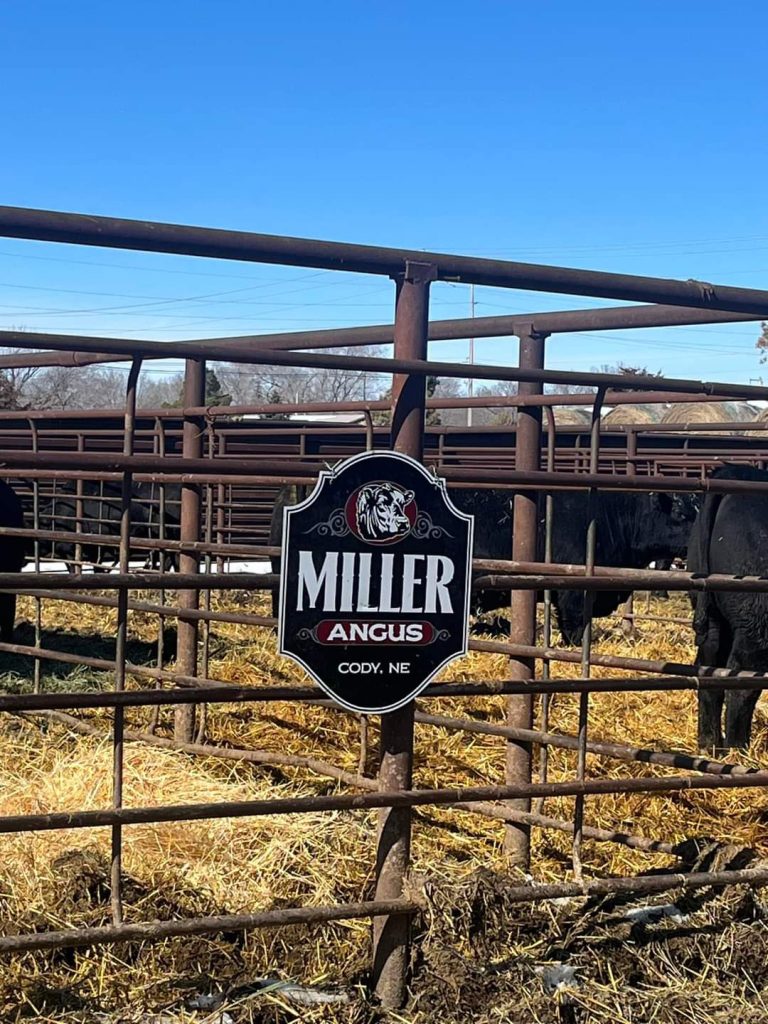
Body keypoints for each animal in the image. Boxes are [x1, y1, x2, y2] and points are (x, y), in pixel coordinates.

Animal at [687, 464, 768, 751]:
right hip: (756, 623)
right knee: (742, 681)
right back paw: (738, 748)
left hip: (712, 616)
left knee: (709, 666)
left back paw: (710, 744)